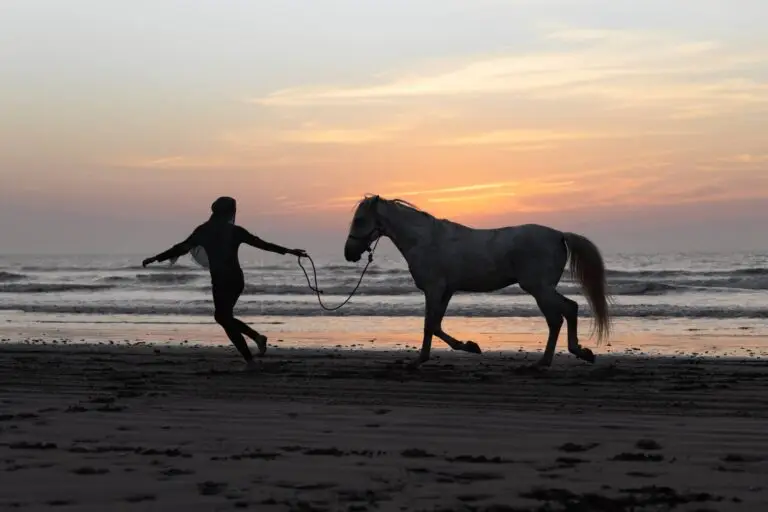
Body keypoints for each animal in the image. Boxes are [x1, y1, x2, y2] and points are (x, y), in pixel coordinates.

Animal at [342, 195, 612, 368]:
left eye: (359, 220)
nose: (349, 253)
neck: (425, 240)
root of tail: (558, 235)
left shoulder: (433, 289)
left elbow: (429, 325)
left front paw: (419, 360)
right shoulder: (446, 290)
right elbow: (436, 324)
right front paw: (470, 346)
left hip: (538, 288)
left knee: (559, 316)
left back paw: (548, 361)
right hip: (542, 289)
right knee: (568, 310)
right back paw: (577, 353)